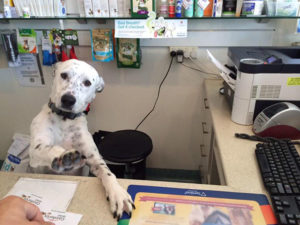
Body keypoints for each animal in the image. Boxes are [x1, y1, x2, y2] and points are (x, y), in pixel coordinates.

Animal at [29, 59, 135, 220]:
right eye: (64, 75)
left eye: (87, 83)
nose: (68, 99)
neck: (65, 120)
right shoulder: (35, 156)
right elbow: (47, 148)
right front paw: (63, 156)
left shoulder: (94, 159)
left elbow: (108, 173)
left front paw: (118, 194)